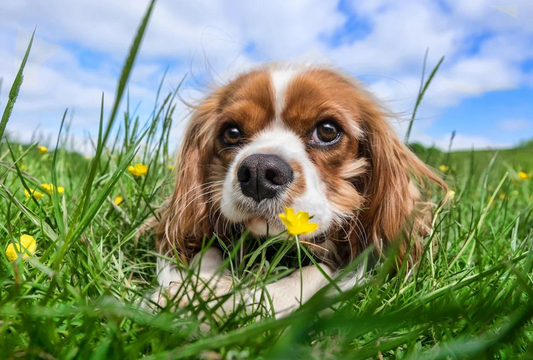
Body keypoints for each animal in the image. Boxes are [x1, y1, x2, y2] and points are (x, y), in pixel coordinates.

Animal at [148, 63, 446, 316]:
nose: (258, 172)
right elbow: (204, 252)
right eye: (231, 133)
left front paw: (234, 301)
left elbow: (315, 273)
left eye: (327, 130)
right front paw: (195, 288)